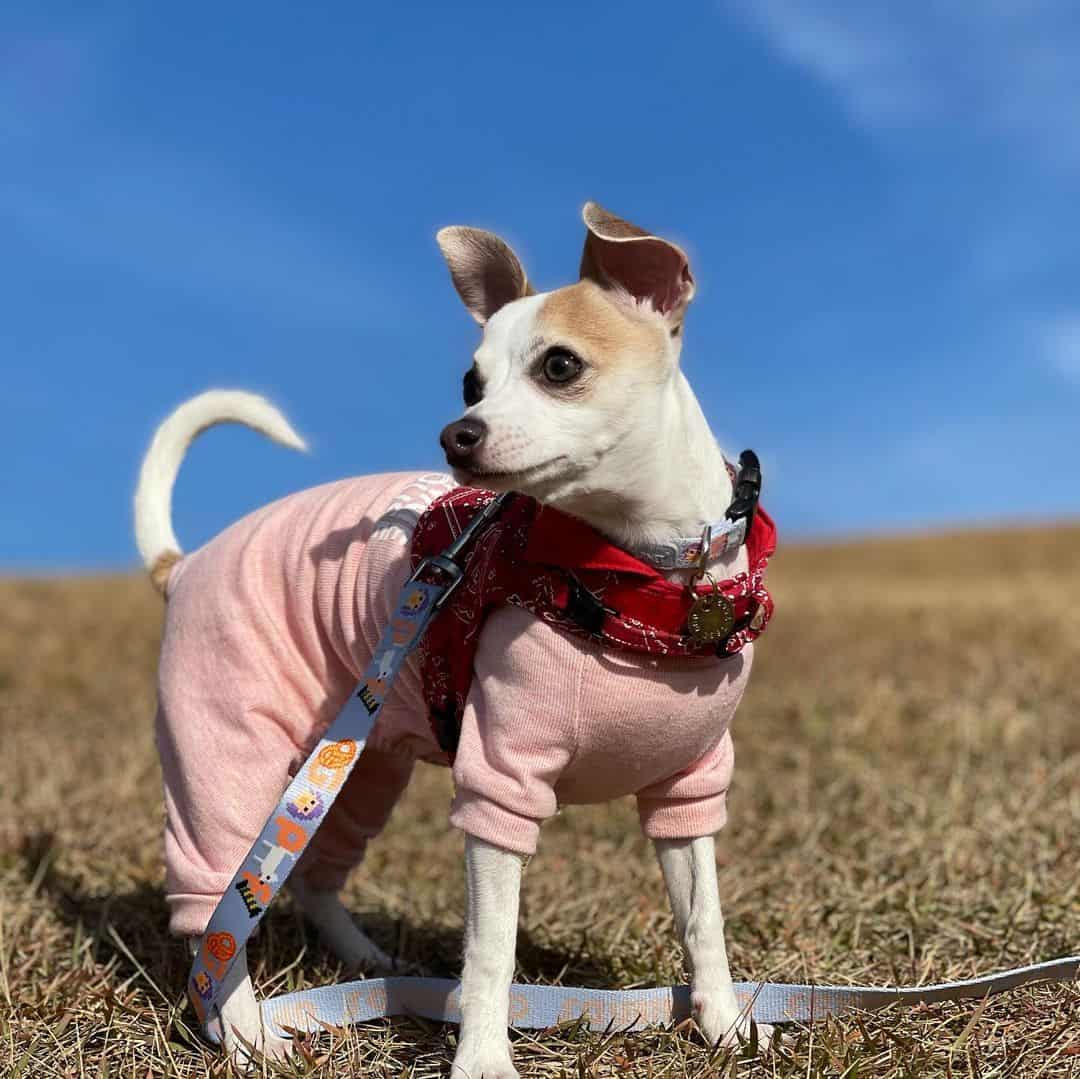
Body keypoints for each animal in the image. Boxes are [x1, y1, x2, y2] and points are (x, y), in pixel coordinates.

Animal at [135, 204, 777, 1079]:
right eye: (471, 384)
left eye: (559, 365)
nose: (456, 433)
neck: (637, 579)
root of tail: (187, 561)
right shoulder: (498, 786)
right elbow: (491, 951)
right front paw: (481, 1057)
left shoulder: (689, 787)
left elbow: (702, 920)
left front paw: (722, 1024)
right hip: (226, 752)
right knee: (218, 914)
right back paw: (244, 1031)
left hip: (360, 763)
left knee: (312, 876)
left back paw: (367, 963)